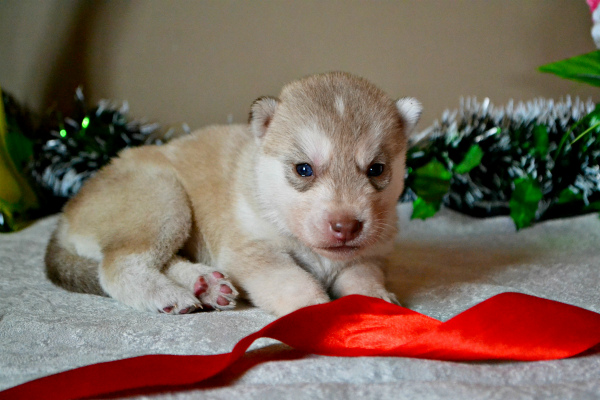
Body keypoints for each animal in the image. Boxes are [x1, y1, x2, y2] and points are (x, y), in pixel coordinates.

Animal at [45, 72, 422, 317]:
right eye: (304, 169)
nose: (345, 227)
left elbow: (364, 280)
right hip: (163, 200)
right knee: (119, 266)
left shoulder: (367, 257)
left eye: (376, 169)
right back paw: (169, 293)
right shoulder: (254, 252)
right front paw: (317, 311)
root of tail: (66, 214)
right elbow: (296, 282)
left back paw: (204, 284)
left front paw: (380, 304)